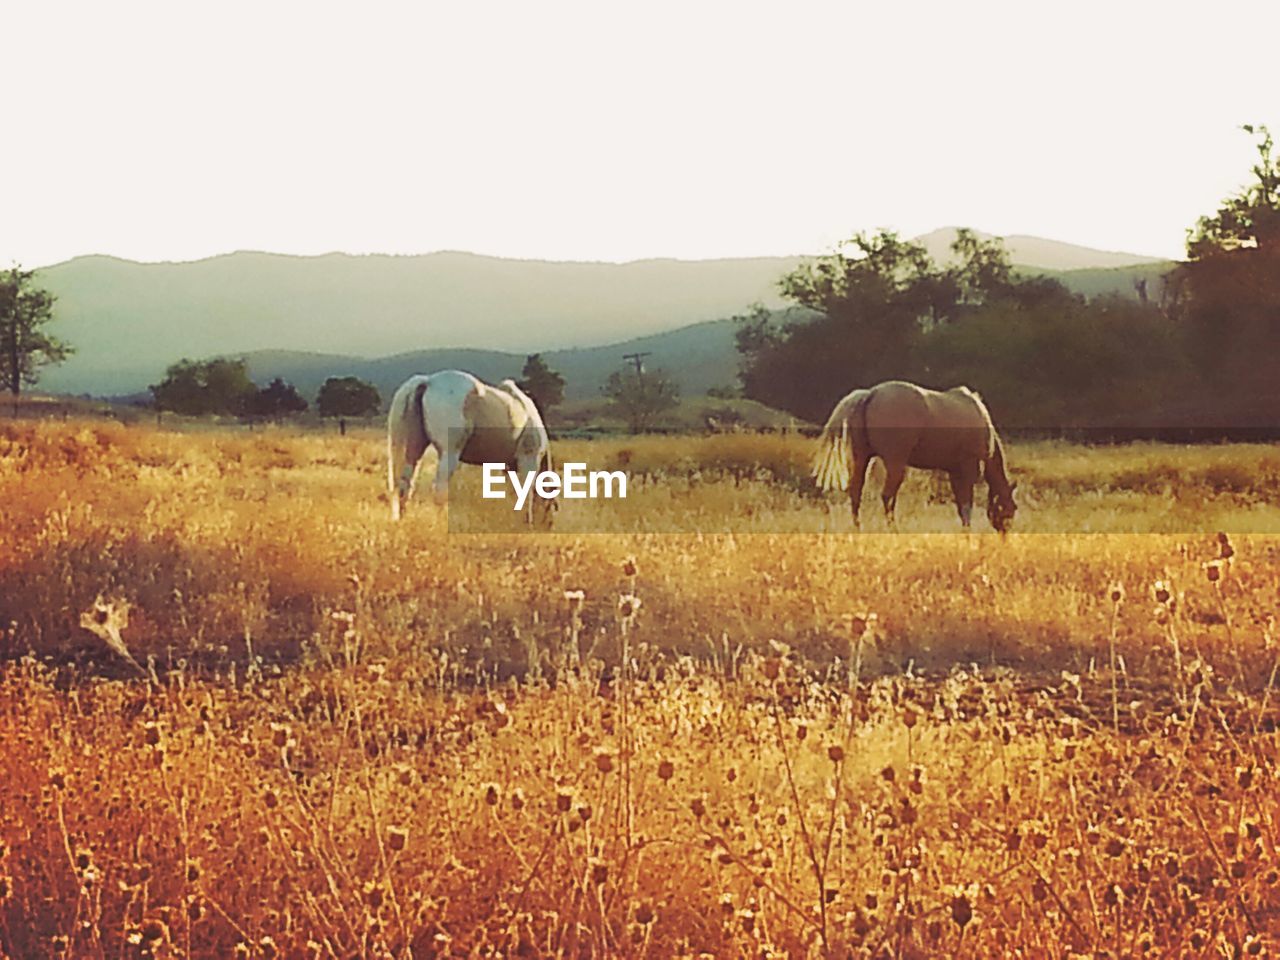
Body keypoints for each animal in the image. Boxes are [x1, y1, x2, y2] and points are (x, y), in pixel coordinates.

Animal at [386, 371, 552, 527]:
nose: (547, 524)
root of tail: (428, 381)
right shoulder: (528, 460)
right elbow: (526, 494)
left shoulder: (509, 468)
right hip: (449, 454)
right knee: (439, 489)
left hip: (414, 451)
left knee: (404, 486)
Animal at [814, 381, 1013, 535]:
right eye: (1011, 508)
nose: (1005, 533)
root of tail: (870, 393)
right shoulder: (968, 470)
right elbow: (966, 504)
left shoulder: (955, 472)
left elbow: (961, 504)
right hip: (895, 465)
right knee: (887, 497)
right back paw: (893, 530)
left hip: (863, 458)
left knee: (856, 492)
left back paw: (858, 528)